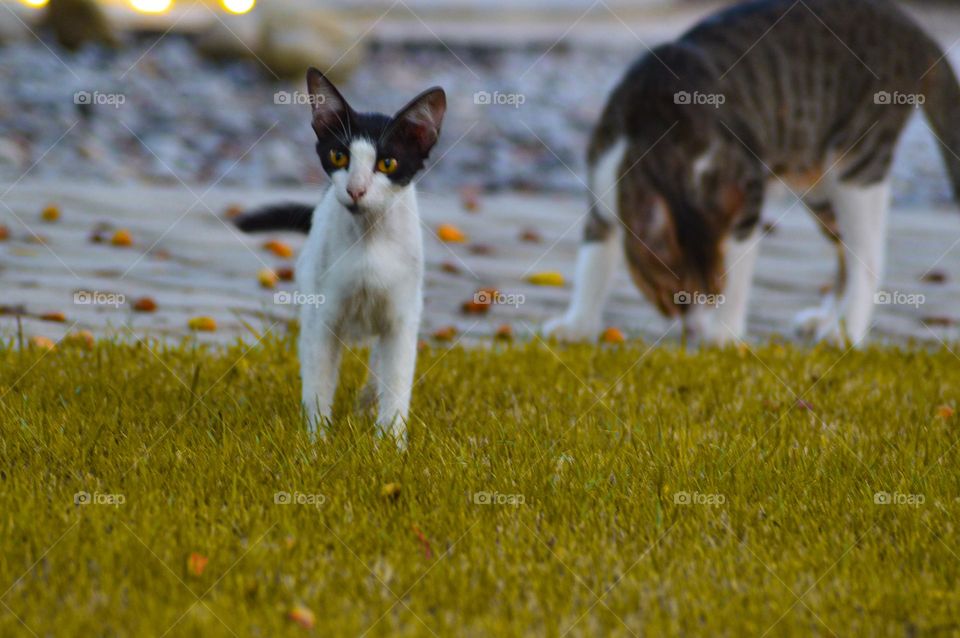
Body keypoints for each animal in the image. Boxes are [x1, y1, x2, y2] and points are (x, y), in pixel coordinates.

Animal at [240, 70, 450, 448]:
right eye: (339, 157)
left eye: (387, 163)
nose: (355, 190)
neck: (369, 241)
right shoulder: (323, 317)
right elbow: (319, 383)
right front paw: (316, 444)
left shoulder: (401, 317)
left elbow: (397, 383)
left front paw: (390, 445)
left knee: (379, 365)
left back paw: (366, 403)